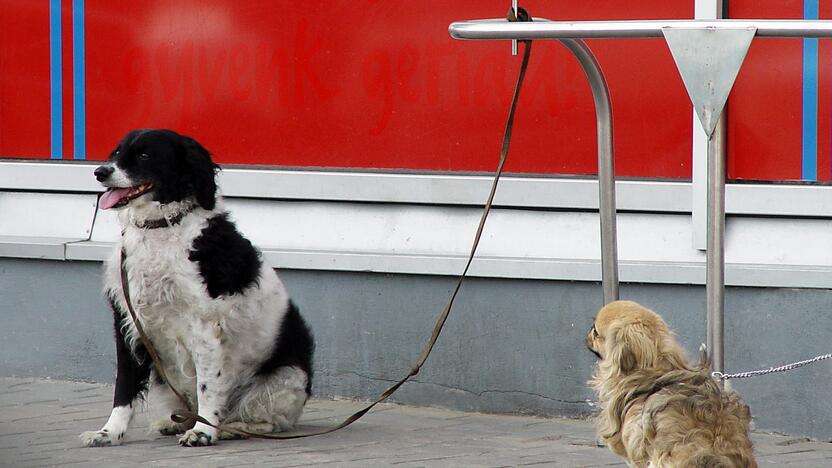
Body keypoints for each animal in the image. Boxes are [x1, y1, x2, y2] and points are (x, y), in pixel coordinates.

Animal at [79, 130, 314, 448]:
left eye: (144, 155)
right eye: (116, 152)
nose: (100, 172)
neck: (160, 229)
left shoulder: (204, 326)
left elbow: (207, 386)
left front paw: (204, 432)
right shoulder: (128, 321)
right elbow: (124, 386)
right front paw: (109, 432)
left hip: (286, 377)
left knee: (269, 422)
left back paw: (228, 428)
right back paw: (173, 423)